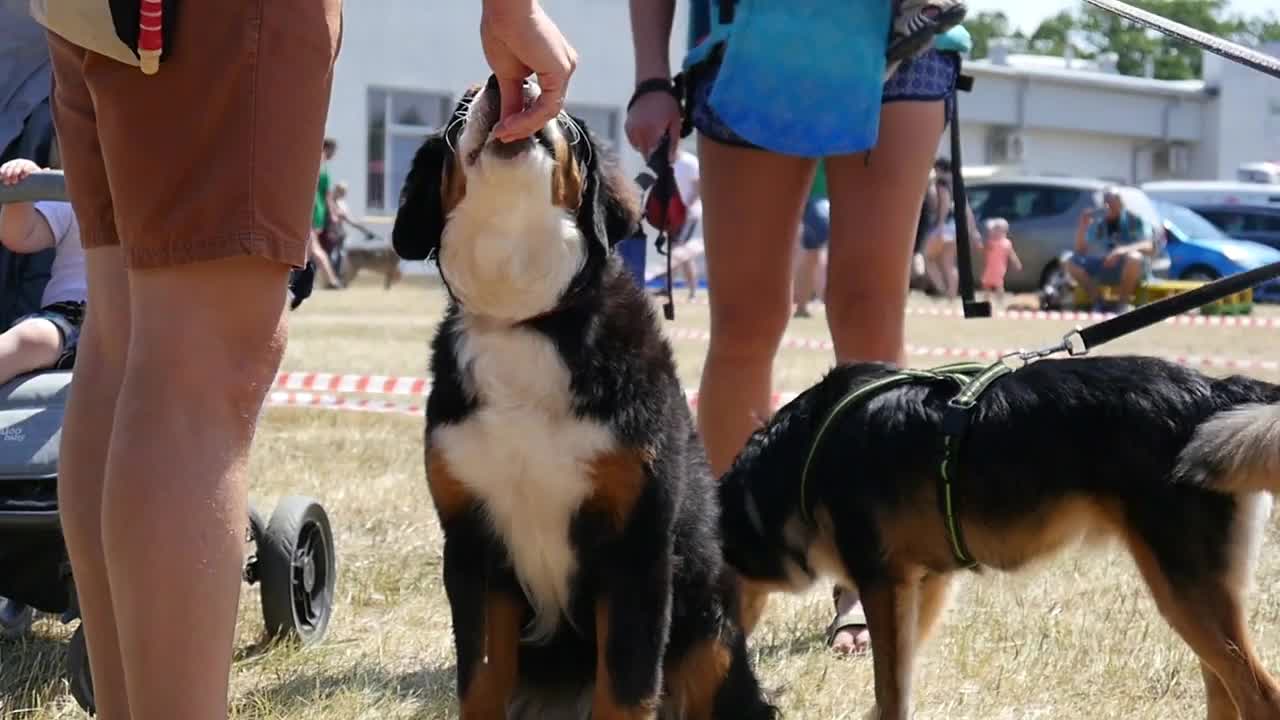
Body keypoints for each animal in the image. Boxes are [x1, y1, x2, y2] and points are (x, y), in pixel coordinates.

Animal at [389, 75, 773, 712]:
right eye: (463, 101)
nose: (507, 79)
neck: (526, 319)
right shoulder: (472, 546)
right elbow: (481, 680)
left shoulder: (636, 548)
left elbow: (625, 689)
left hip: (709, 636)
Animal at [716, 353, 1280, 717]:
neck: (801, 454)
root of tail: (1216, 391)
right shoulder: (924, 584)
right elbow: (893, 689)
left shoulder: (882, 583)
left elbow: (890, 691)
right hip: (1194, 595)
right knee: (1225, 691)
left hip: (1182, 588)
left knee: (1259, 696)